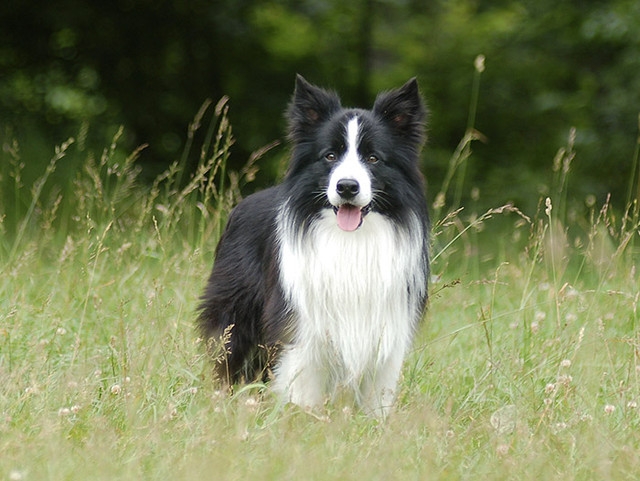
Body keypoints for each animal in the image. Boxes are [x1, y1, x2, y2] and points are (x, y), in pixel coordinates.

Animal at [198, 75, 429, 418]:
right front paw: (302, 422)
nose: (347, 186)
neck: (350, 240)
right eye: (329, 156)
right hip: (235, 313)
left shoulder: (386, 327)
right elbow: (301, 389)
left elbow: (377, 397)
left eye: (373, 158)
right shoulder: (300, 327)